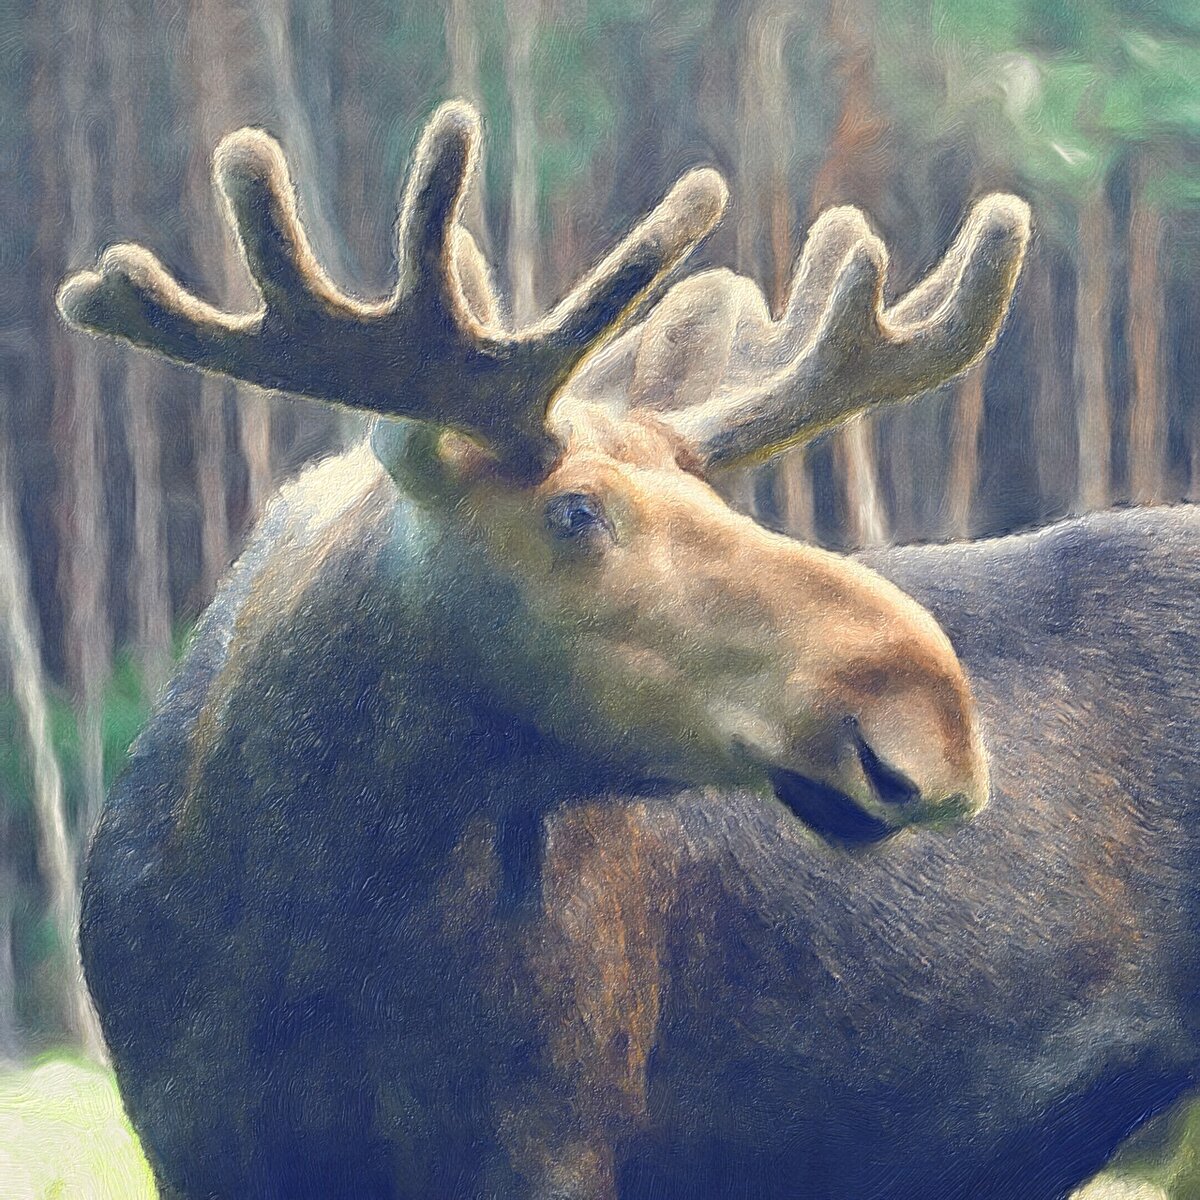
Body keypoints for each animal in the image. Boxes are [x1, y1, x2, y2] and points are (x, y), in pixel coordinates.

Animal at [56, 103, 1200, 1200]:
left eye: (714, 493)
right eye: (574, 511)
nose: (937, 719)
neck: (296, 919)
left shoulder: (547, 1142)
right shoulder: (191, 1148)